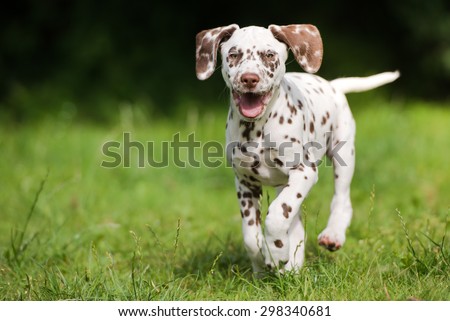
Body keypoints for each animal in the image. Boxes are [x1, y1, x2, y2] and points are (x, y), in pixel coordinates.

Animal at [195, 23, 400, 272]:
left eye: (269, 55)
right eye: (233, 55)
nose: (249, 79)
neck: (258, 129)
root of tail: (332, 85)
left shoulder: (304, 171)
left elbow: (276, 215)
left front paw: (274, 253)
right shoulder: (245, 183)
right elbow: (251, 236)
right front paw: (263, 262)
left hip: (343, 155)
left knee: (341, 199)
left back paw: (332, 235)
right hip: (285, 185)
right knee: (296, 224)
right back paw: (291, 265)